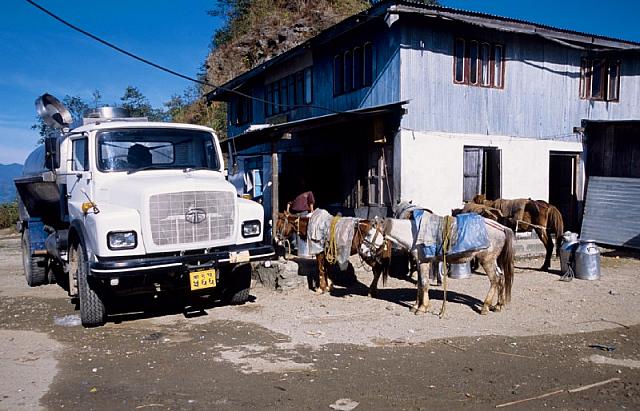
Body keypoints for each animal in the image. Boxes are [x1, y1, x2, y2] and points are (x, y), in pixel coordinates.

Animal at [360, 214, 516, 318]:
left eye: (369, 234)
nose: (362, 250)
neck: (414, 234)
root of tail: (502, 227)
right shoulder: (420, 262)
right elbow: (419, 284)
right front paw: (416, 306)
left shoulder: (423, 262)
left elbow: (424, 283)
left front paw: (422, 308)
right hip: (493, 260)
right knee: (501, 277)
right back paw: (498, 305)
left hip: (487, 260)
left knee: (495, 280)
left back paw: (485, 307)